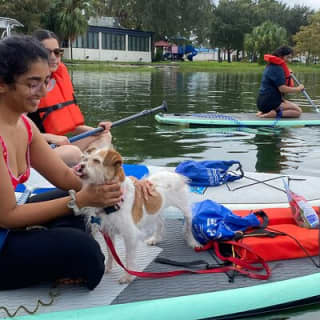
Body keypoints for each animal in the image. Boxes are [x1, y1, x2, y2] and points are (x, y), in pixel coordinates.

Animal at [75, 147, 200, 282]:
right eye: (85, 159)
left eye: (96, 161)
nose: (79, 167)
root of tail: (172, 174)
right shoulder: (108, 231)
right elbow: (110, 252)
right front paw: (108, 268)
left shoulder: (130, 235)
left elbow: (128, 257)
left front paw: (128, 276)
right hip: (157, 209)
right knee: (160, 222)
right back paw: (155, 238)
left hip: (184, 207)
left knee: (189, 221)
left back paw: (193, 241)